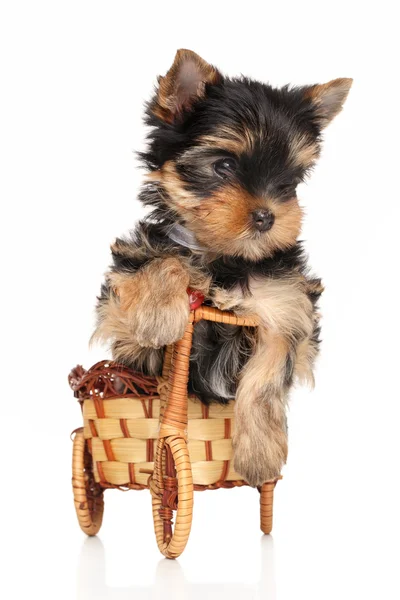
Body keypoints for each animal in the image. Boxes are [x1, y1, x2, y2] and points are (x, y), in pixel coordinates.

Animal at [92, 50, 352, 488]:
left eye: (291, 180)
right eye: (225, 165)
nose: (267, 217)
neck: (222, 257)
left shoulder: (287, 306)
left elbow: (268, 372)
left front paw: (260, 456)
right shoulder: (128, 332)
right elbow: (160, 266)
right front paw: (158, 314)